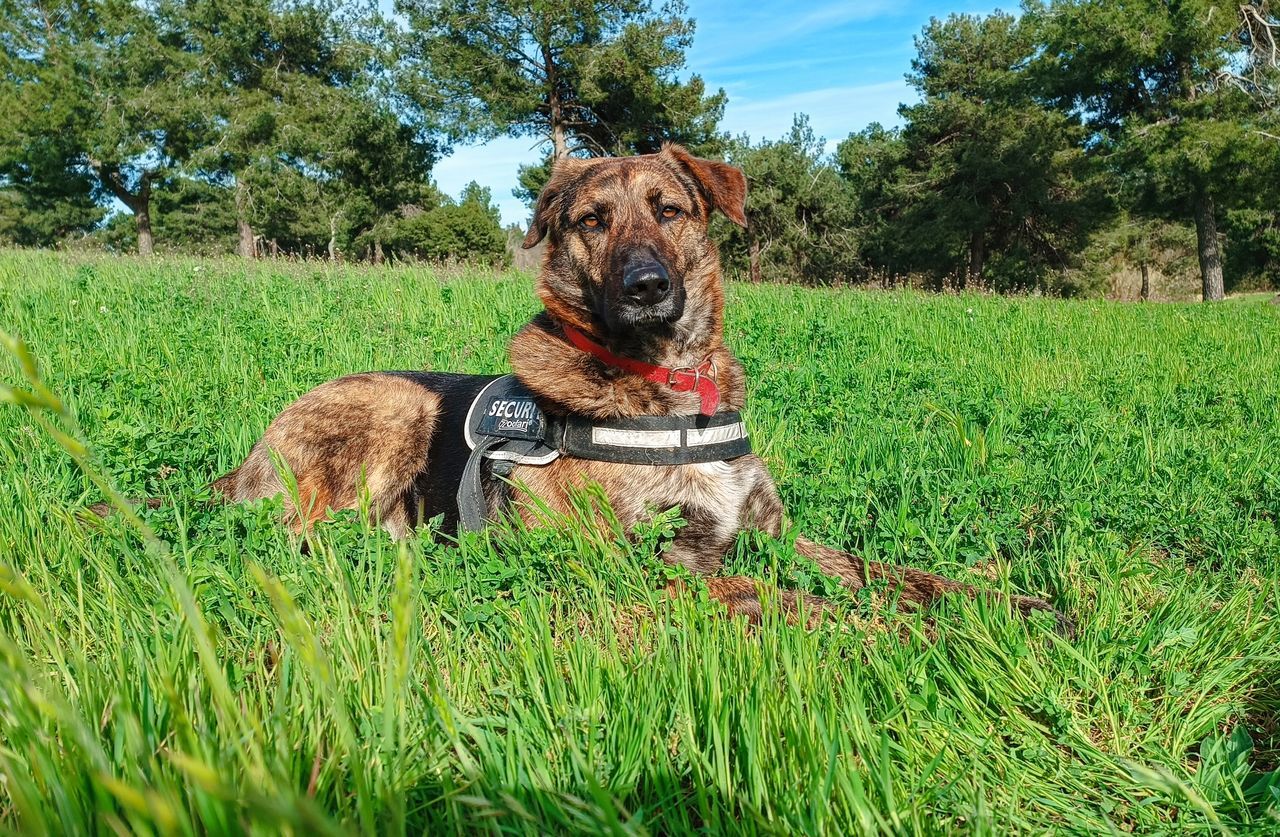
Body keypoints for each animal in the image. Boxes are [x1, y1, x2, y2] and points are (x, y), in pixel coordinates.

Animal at [215, 144, 1064, 629]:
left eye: (670, 210)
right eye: (592, 221)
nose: (647, 287)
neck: (669, 384)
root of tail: (242, 462)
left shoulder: (773, 532)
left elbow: (886, 571)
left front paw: (1008, 606)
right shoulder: (643, 564)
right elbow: (782, 595)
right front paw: (921, 636)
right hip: (394, 406)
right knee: (307, 535)